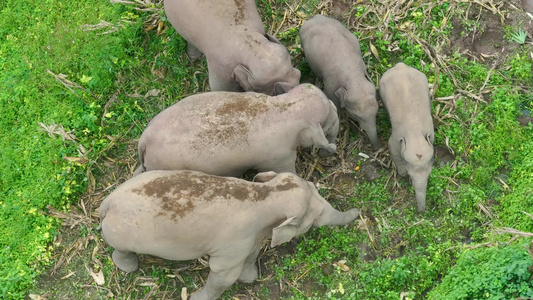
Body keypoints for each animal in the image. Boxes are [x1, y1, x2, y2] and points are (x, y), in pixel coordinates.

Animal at [97, 170, 360, 300]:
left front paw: (249, 277)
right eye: (314, 219)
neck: (265, 194)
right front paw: (197, 298)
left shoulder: (251, 236)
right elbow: (224, 274)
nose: (359, 211)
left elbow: (252, 254)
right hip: (122, 233)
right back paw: (129, 267)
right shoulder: (234, 242)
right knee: (121, 250)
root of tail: (107, 202)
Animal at [135, 83, 338, 177]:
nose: (336, 107)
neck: (286, 108)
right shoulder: (278, 158)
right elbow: (287, 171)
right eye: (325, 120)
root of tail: (144, 140)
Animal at [298, 14, 380, 148]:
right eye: (356, 116)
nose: (378, 147)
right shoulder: (330, 87)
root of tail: (315, 17)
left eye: (377, 110)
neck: (353, 76)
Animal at [376, 62, 434, 213]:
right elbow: (391, 147)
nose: (421, 212)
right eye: (411, 177)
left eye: (429, 174)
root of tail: (400, 65)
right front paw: (402, 173)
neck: (415, 133)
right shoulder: (396, 137)